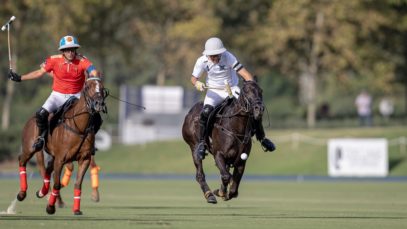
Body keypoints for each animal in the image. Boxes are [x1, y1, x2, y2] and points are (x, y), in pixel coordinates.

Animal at [16, 77, 107, 215]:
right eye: (88, 87)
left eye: (102, 88)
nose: (99, 104)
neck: (79, 127)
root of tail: (30, 119)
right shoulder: (60, 159)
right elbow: (57, 184)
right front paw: (50, 207)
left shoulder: (85, 159)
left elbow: (77, 184)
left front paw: (76, 210)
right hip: (30, 148)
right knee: (23, 161)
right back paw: (22, 194)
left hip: (51, 156)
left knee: (47, 171)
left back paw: (42, 192)